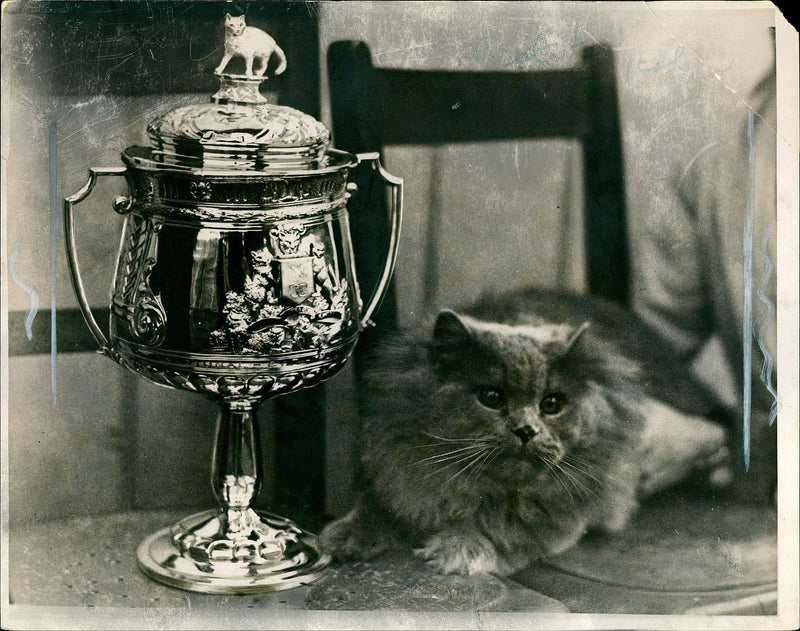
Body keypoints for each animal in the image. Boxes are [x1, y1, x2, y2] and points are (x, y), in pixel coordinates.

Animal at [318, 288, 732, 576]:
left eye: (551, 404)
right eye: (491, 397)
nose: (526, 430)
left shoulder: (573, 502)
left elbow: (508, 527)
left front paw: (459, 548)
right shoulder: (392, 468)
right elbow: (372, 506)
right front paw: (342, 537)